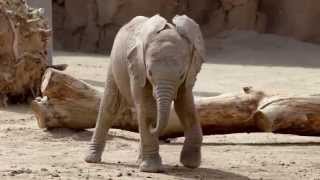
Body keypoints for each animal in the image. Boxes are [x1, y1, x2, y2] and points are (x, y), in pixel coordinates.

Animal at [85, 14, 205, 173]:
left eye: (181, 75)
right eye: (150, 73)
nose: (153, 126)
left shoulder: (189, 74)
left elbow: (186, 107)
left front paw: (191, 164)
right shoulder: (138, 67)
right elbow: (147, 109)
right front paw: (152, 169)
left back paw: (139, 161)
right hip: (114, 64)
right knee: (110, 108)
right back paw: (92, 159)